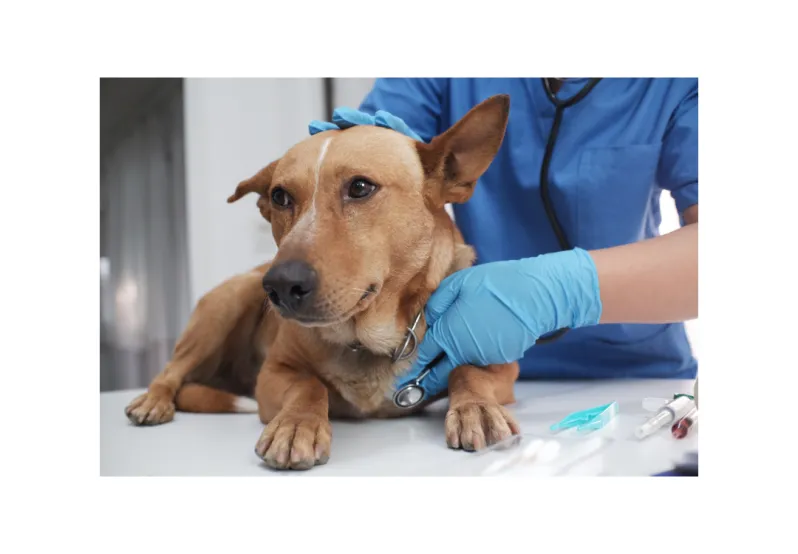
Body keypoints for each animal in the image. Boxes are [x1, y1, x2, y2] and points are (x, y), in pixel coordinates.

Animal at [125, 92, 520, 468]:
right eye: (279, 196)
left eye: (360, 187)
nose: (280, 286)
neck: (365, 339)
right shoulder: (272, 375)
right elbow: (308, 384)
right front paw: (296, 424)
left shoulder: (504, 366)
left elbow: (468, 371)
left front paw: (476, 408)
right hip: (228, 302)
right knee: (171, 371)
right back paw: (153, 401)